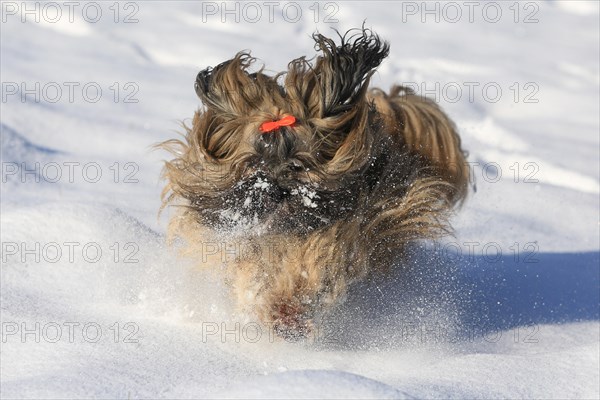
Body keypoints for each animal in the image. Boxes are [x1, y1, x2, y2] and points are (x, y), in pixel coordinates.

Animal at [159, 28, 468, 340]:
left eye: (298, 165)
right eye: (254, 162)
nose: (276, 190)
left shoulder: (349, 233)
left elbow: (316, 262)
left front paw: (290, 310)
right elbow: (253, 271)